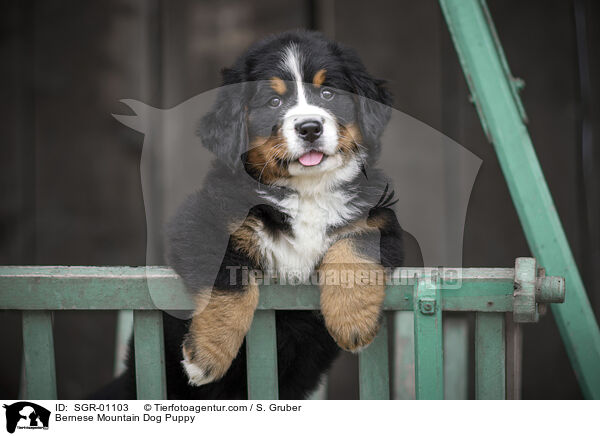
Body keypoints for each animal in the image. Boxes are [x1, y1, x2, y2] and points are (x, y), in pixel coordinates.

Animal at [101, 29, 406, 400]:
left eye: (328, 93)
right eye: (273, 102)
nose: (309, 128)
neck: (307, 191)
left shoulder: (380, 219)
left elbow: (355, 249)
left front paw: (352, 323)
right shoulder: (200, 222)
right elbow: (231, 281)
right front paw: (207, 356)